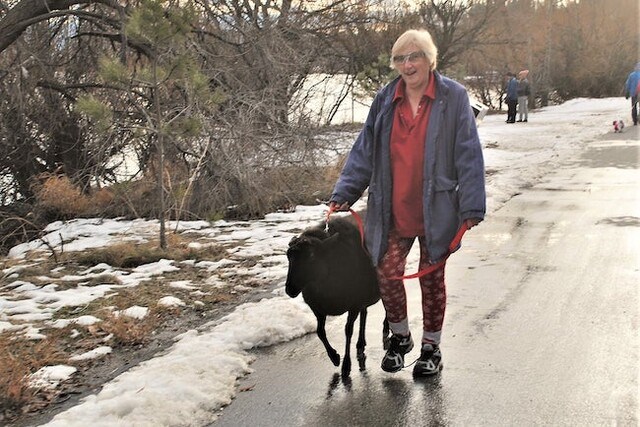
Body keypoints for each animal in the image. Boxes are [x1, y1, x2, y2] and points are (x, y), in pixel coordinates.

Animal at [286, 212, 388, 376]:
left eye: (311, 256)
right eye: (288, 256)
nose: (290, 289)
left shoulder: (353, 304)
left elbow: (348, 330)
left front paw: (346, 365)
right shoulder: (317, 308)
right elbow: (320, 332)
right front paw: (334, 357)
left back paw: (385, 331)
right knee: (365, 313)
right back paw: (361, 343)